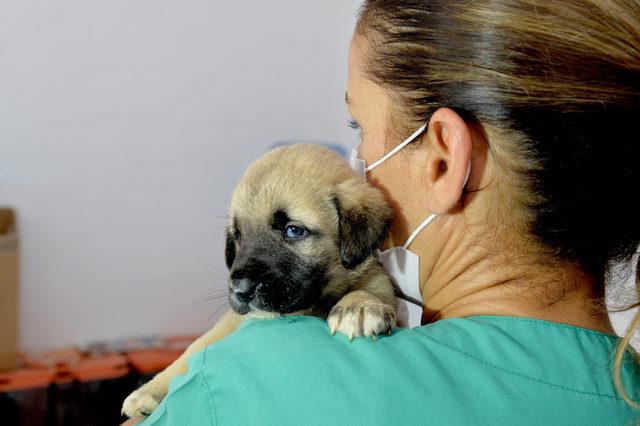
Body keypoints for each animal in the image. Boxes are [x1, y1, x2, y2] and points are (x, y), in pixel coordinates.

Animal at [122, 145, 398, 418]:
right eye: (238, 235)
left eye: (293, 230)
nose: (240, 290)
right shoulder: (234, 319)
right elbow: (195, 348)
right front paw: (150, 390)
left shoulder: (373, 276)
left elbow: (373, 287)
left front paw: (358, 307)